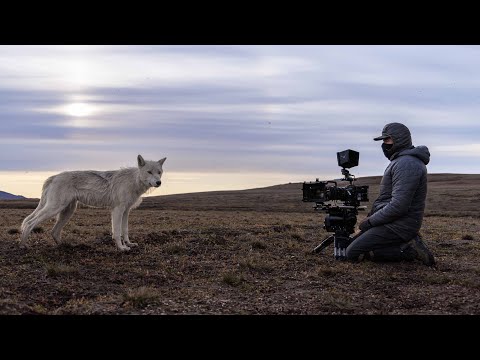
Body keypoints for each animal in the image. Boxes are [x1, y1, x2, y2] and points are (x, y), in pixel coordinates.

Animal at [20, 154, 167, 250]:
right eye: (149, 172)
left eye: (159, 172)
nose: (159, 182)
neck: (134, 181)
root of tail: (54, 176)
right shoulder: (117, 210)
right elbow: (117, 232)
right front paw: (121, 248)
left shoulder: (126, 211)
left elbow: (125, 230)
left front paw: (129, 244)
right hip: (54, 209)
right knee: (30, 223)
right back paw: (23, 245)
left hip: (67, 212)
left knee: (54, 232)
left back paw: (66, 246)